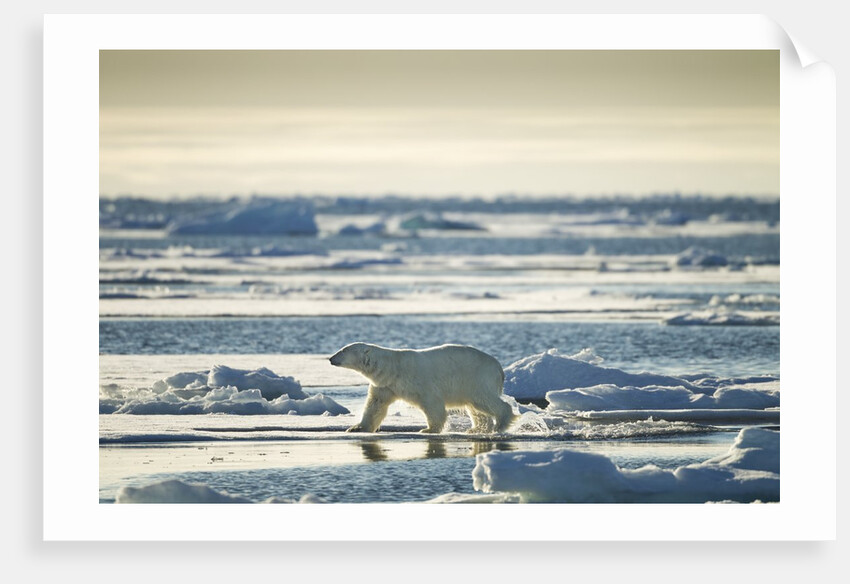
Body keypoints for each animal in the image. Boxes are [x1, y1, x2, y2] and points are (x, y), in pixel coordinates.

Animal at [329, 342, 515, 434]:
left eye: (343, 350)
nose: (331, 358)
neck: (392, 368)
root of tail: (499, 368)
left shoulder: (419, 381)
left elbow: (432, 404)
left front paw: (428, 429)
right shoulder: (384, 385)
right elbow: (375, 405)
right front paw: (356, 428)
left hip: (477, 377)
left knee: (484, 400)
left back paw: (500, 424)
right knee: (475, 407)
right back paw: (476, 429)